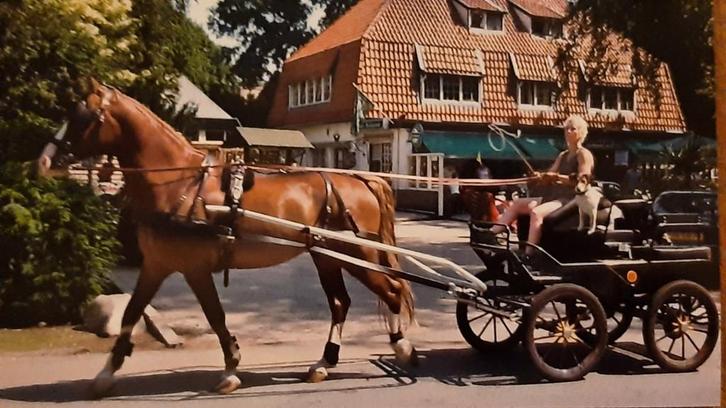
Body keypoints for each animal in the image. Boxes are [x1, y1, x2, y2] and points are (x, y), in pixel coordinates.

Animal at [39, 79, 416, 396]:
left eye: (82, 116)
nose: (44, 159)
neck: (179, 184)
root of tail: (362, 179)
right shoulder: (157, 265)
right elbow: (132, 312)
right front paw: (106, 372)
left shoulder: (193, 269)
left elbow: (215, 317)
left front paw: (231, 369)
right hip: (327, 257)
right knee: (341, 304)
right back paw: (324, 363)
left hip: (357, 254)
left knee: (392, 290)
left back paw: (402, 346)